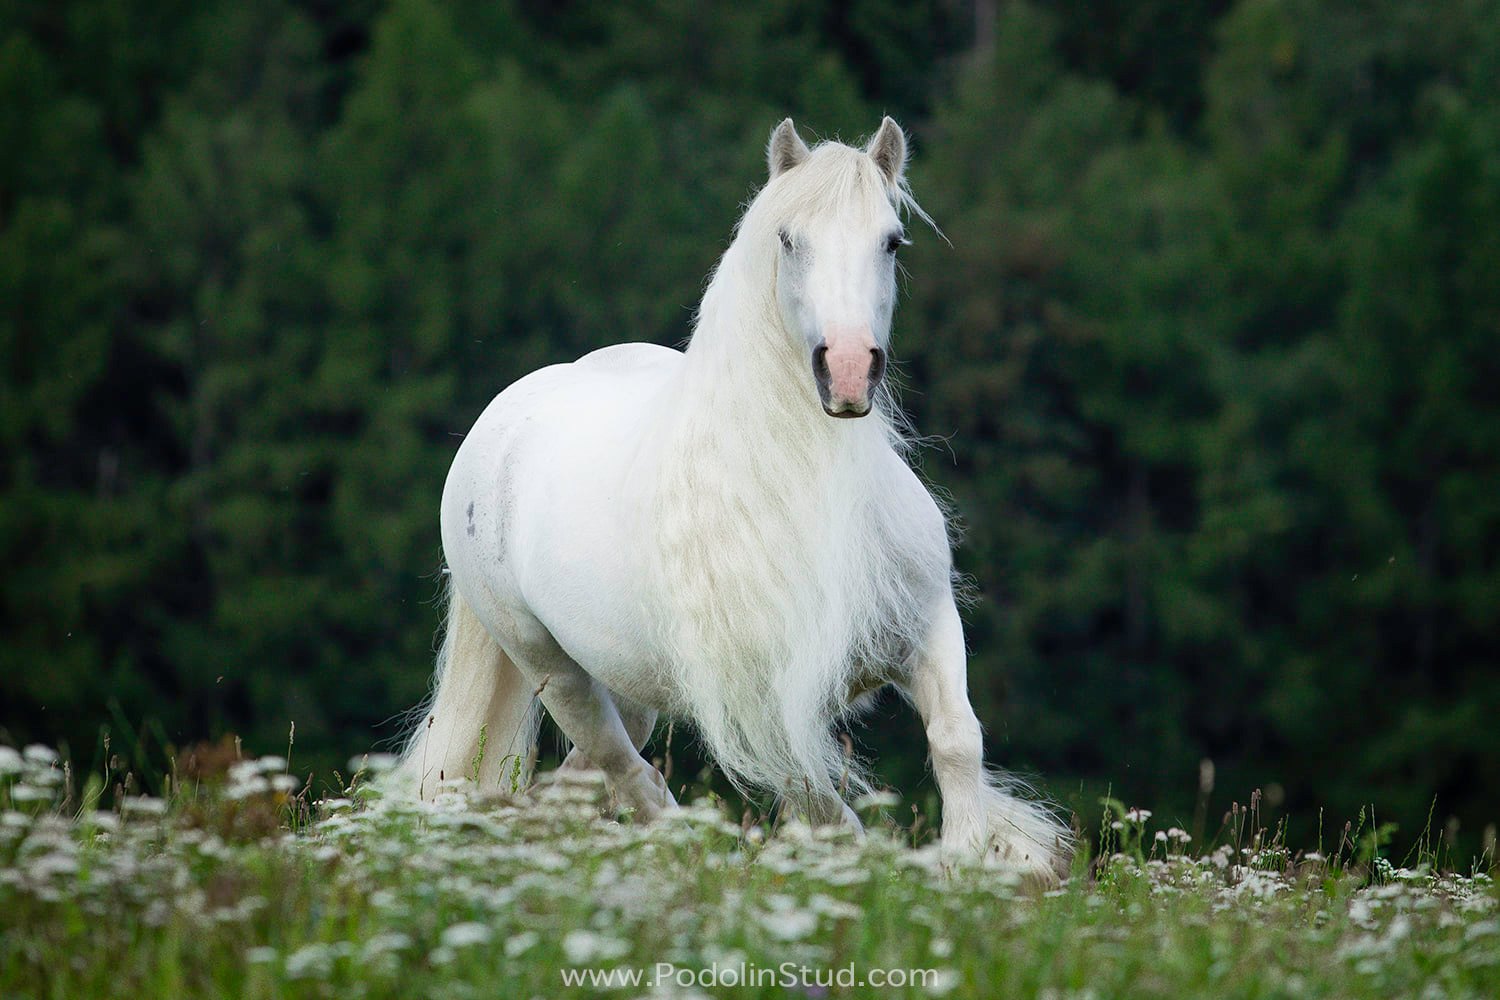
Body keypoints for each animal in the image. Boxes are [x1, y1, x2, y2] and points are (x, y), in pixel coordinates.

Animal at [399, 113, 1074, 869]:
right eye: (788, 239)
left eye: (892, 241)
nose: (847, 369)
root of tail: (503, 419)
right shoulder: (767, 706)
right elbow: (822, 804)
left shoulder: (928, 627)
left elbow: (957, 742)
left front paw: (977, 863)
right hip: (553, 670)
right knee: (626, 771)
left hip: (629, 683)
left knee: (584, 775)